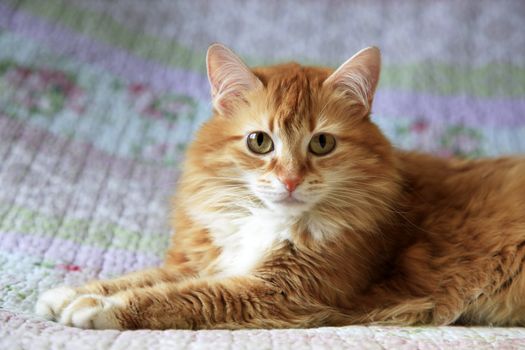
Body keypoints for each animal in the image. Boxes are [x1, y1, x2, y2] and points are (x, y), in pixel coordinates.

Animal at [34, 43, 524, 328]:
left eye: (322, 143)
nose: (290, 179)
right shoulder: (209, 261)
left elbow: (178, 297)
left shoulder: (283, 292)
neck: (265, 223)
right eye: (259, 141)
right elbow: (142, 278)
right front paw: (71, 293)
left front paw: (99, 309)